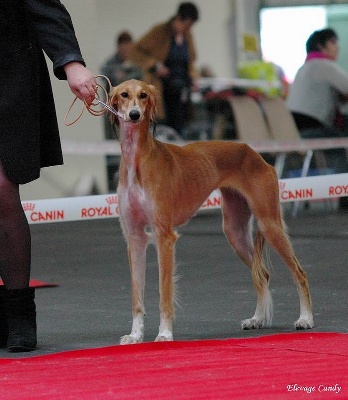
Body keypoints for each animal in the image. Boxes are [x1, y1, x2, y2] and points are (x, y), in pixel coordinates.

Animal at [110, 79, 314, 344]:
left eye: (143, 95)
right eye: (124, 95)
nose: (134, 115)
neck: (138, 159)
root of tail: (255, 154)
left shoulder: (164, 236)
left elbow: (164, 292)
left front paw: (164, 334)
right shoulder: (135, 238)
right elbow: (137, 296)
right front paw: (135, 335)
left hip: (269, 223)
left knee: (299, 272)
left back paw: (306, 319)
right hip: (234, 230)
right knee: (262, 274)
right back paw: (257, 319)